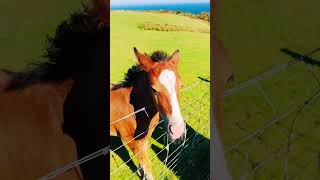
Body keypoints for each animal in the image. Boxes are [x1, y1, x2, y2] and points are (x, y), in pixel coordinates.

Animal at [110, 47, 185, 180]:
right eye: (154, 89)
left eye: (181, 85)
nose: (177, 130)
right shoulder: (132, 142)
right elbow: (147, 165)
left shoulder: (144, 139)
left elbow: (143, 164)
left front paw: (141, 173)